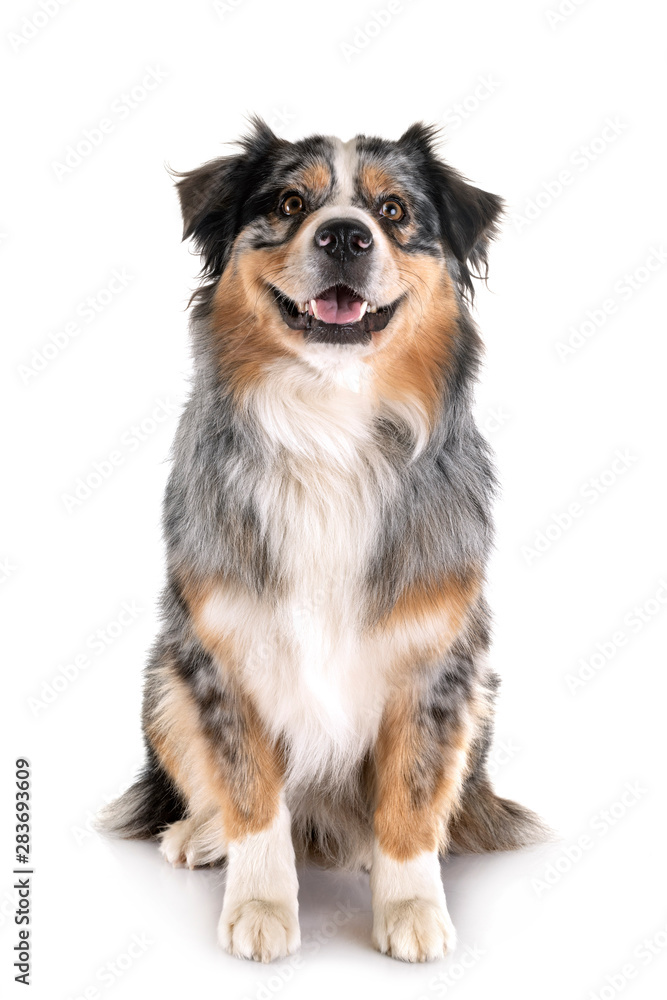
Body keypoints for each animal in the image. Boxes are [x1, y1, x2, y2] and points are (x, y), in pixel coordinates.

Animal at [99, 115, 548, 960]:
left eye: (394, 211)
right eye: (288, 202)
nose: (345, 235)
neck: (328, 425)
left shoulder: (438, 665)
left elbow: (410, 799)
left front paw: (412, 909)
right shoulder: (222, 651)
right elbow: (251, 796)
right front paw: (260, 907)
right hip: (165, 678)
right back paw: (199, 835)